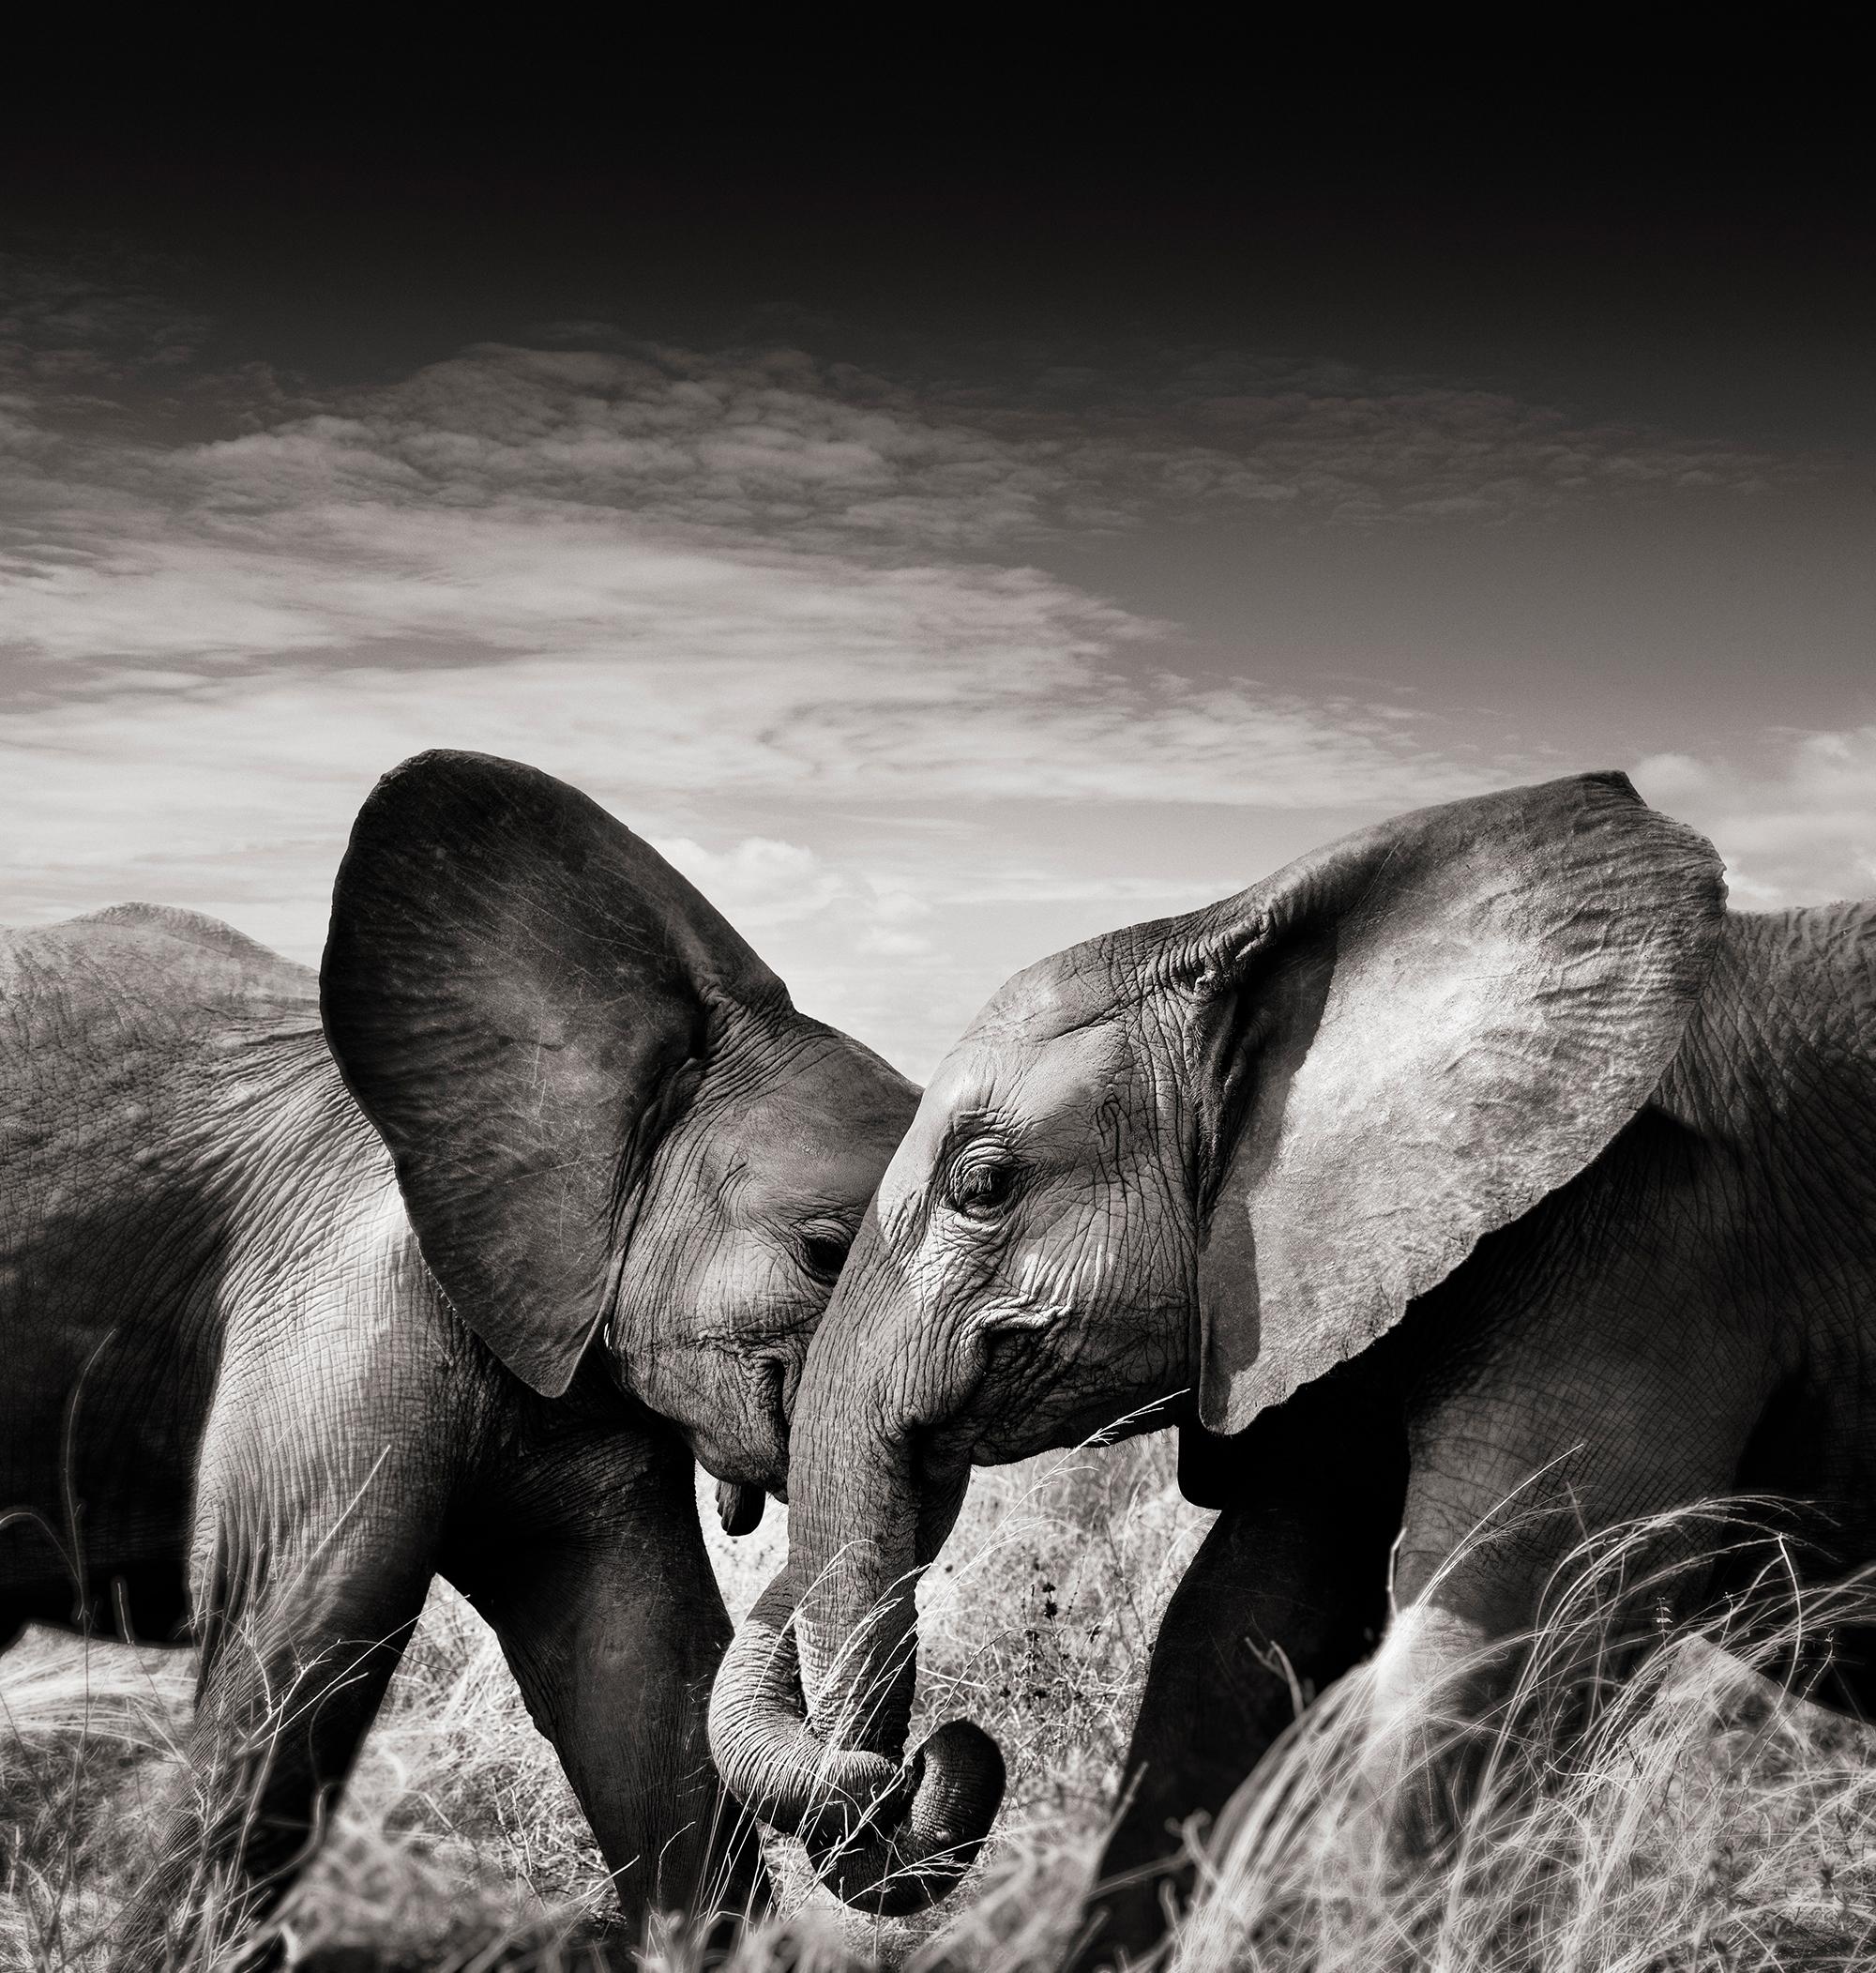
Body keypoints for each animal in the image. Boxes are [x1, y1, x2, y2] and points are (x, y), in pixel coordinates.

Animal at [705, 765, 1876, 1957]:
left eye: (981, 1186)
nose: (924, 1762)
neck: (1228, 926)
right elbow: (1237, 1619)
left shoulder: (1656, 1241)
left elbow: (1500, 1625)